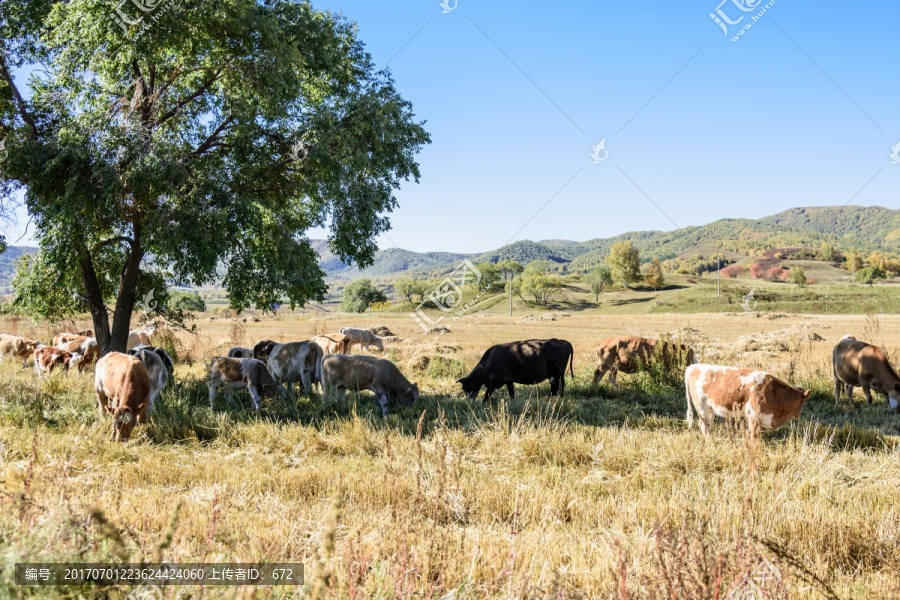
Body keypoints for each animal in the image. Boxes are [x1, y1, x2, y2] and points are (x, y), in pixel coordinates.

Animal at [684, 366, 812, 436]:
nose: (798, 414)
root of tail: (693, 366)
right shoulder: (752, 415)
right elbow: (754, 435)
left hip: (710, 409)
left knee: (708, 426)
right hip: (701, 407)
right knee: (704, 426)